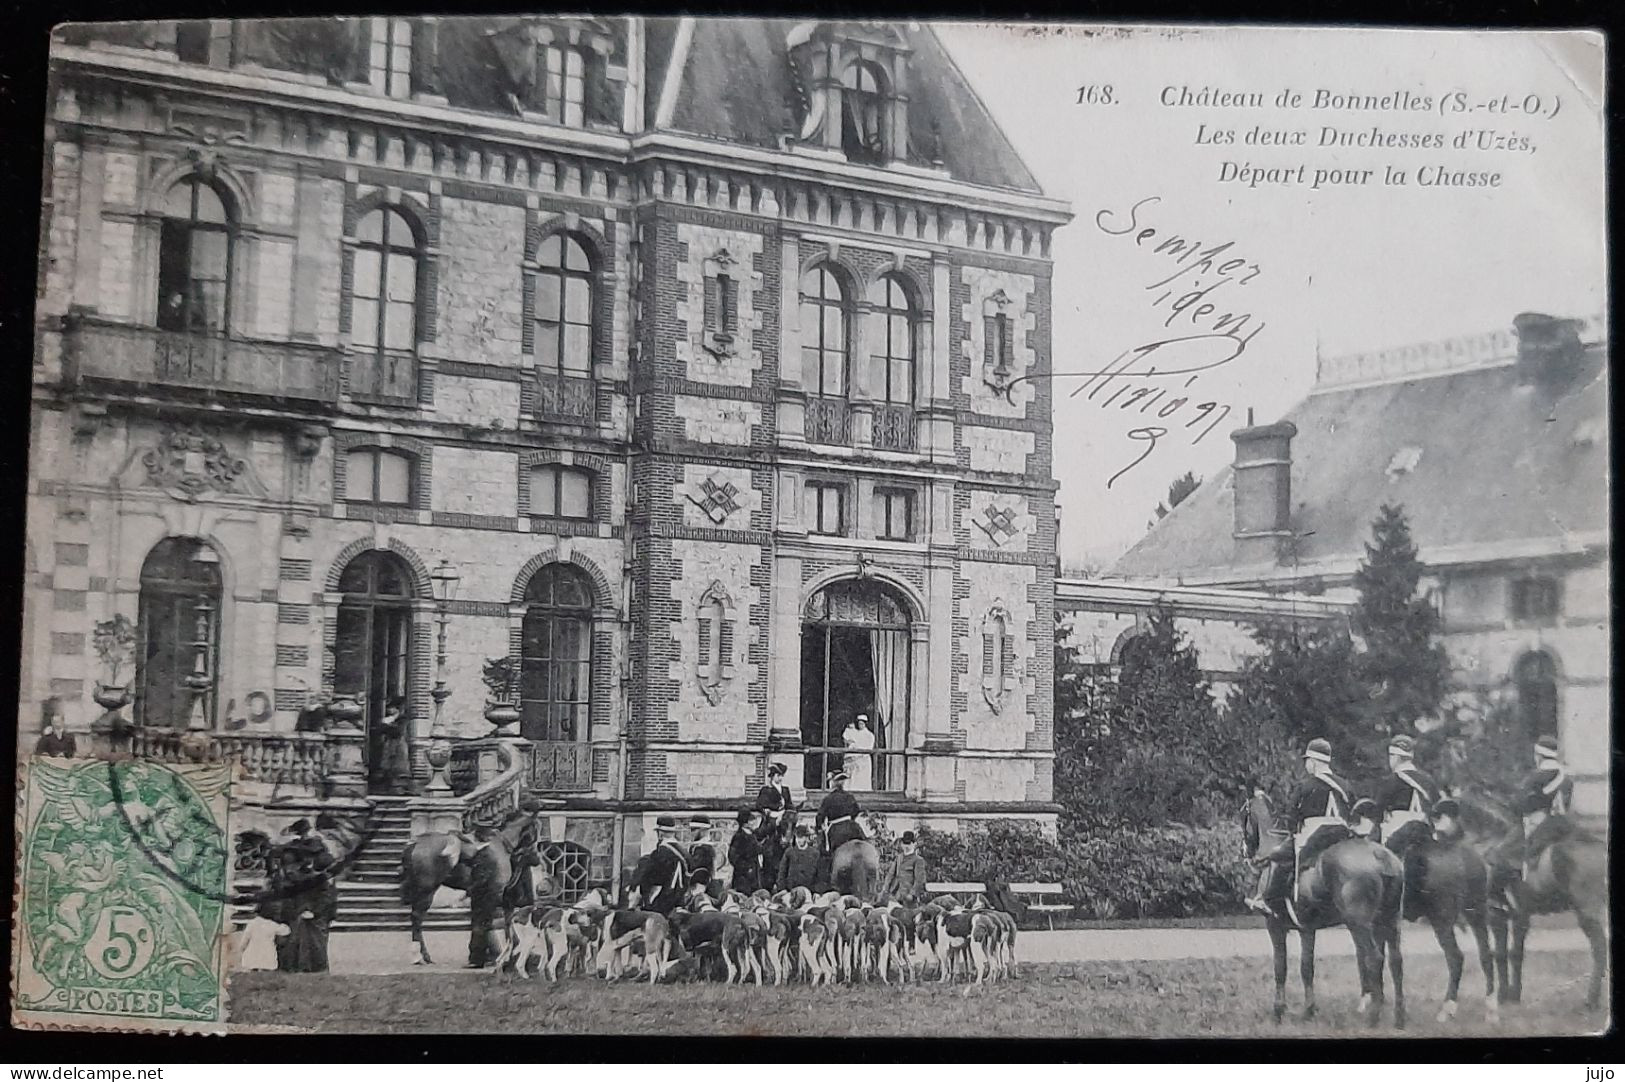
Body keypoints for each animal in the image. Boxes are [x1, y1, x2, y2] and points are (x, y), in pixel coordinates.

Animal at [399, 805, 546, 961]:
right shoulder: (494, 892)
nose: (537, 859)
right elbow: (489, 921)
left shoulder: (484, 894)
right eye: (536, 829)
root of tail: (415, 843)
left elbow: (490, 919)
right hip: (427, 890)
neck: (502, 844)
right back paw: (422, 955)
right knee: (417, 918)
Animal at [1241, 789, 1410, 1026]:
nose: (1247, 852)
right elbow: (1306, 967)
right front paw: (1308, 1010)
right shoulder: (1307, 929)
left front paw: (1278, 1010)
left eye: (1244, 815)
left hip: (1359, 925)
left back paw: (1373, 1016)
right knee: (1396, 962)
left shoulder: (1275, 926)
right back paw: (1398, 1016)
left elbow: (1280, 966)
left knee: (1374, 958)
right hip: (1390, 920)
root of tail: (1381, 857)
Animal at [1456, 789, 1605, 1007]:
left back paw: (1591, 1001)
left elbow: (1507, 953)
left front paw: (1505, 995)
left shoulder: (1503, 915)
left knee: (1599, 949)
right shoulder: (1508, 916)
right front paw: (1510, 995)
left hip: (1587, 913)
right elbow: (1506, 953)